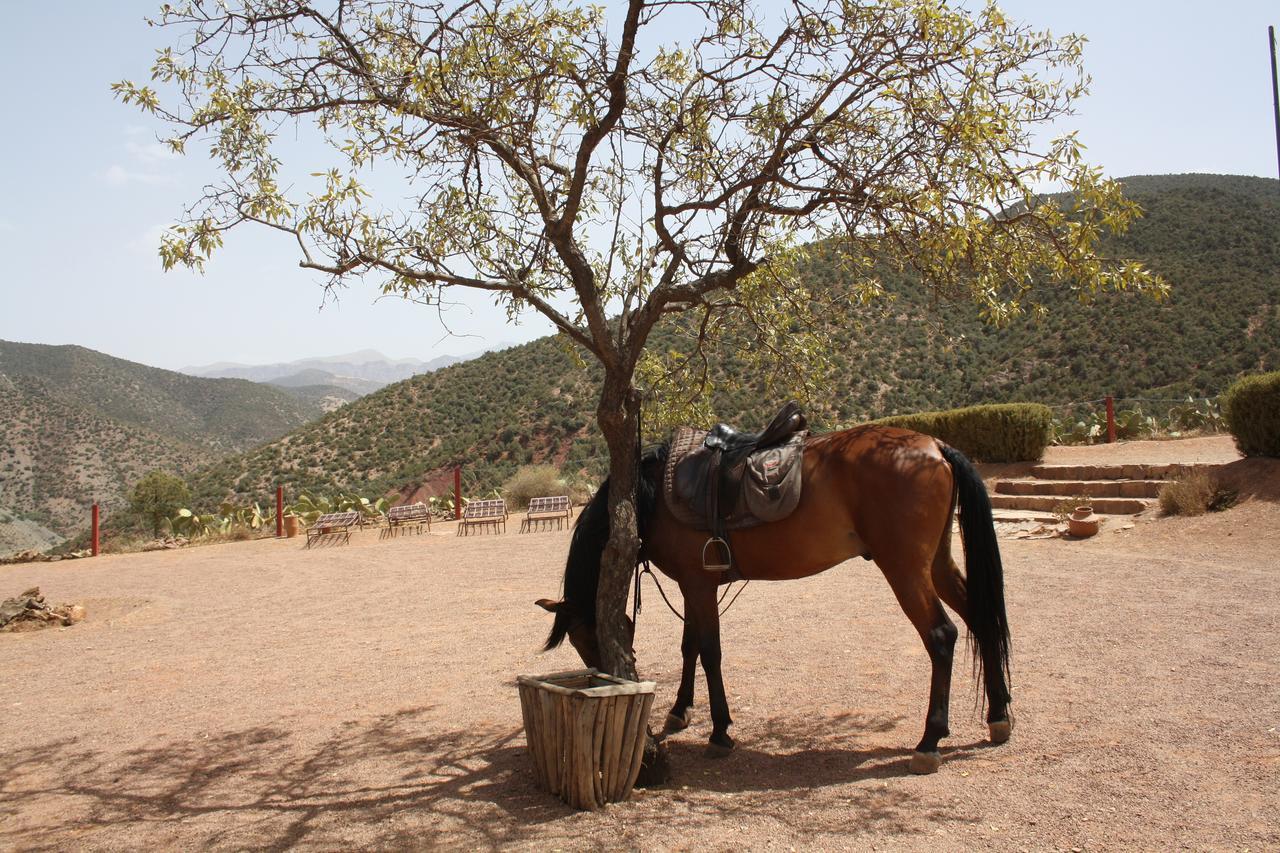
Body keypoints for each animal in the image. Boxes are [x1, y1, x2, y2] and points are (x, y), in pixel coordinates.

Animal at [537, 422, 1008, 768]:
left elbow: (710, 651)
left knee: (942, 636)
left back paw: (930, 740)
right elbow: (691, 648)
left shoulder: (699, 586)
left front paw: (720, 731)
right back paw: (999, 716)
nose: (603, 679)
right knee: (980, 620)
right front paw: (679, 711)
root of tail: (936, 445)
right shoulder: (693, 586)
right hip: (937, 564)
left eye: (584, 637)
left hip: (906, 570)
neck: (650, 497)